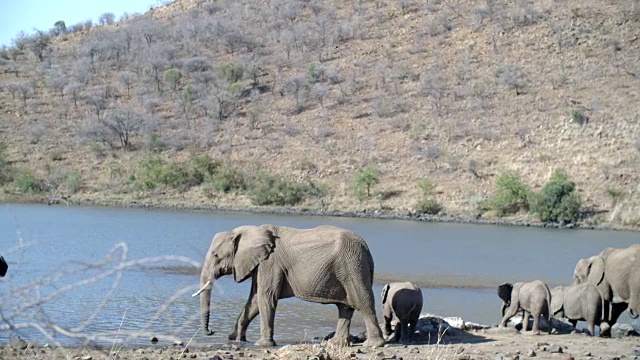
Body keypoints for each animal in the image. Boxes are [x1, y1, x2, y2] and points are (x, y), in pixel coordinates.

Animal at [191, 225, 384, 346]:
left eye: (216, 255)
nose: (212, 332)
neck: (251, 230)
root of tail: (367, 249)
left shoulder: (270, 263)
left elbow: (266, 298)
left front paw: (262, 345)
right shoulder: (260, 265)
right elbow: (254, 300)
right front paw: (236, 339)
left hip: (352, 266)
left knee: (363, 302)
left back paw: (373, 345)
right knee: (345, 307)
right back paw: (337, 343)